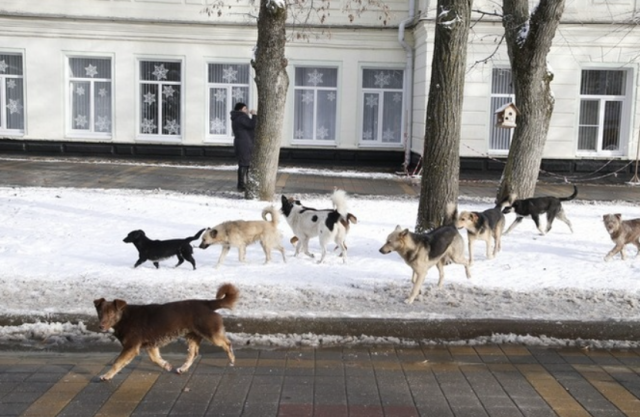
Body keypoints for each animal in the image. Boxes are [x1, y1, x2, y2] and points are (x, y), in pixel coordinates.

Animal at [92, 282, 238, 380]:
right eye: (100, 313)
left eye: (111, 314)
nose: (101, 327)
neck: (123, 317)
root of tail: (207, 303)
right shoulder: (151, 346)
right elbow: (155, 359)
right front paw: (166, 365)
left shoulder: (131, 347)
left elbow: (117, 362)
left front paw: (106, 375)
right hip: (192, 336)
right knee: (193, 354)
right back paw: (183, 368)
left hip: (211, 333)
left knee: (227, 343)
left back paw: (232, 359)